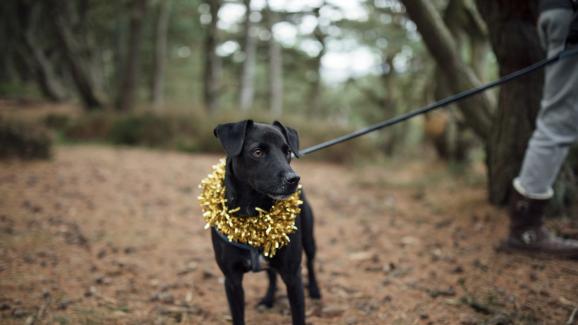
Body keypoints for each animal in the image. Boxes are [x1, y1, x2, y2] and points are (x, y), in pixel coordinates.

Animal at [210, 119, 320, 324]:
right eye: (257, 152)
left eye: (287, 151)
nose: (293, 179)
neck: (253, 212)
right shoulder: (232, 280)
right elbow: (238, 317)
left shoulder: (293, 277)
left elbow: (298, 316)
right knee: (271, 275)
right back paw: (268, 300)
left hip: (309, 240)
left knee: (310, 263)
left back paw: (315, 290)